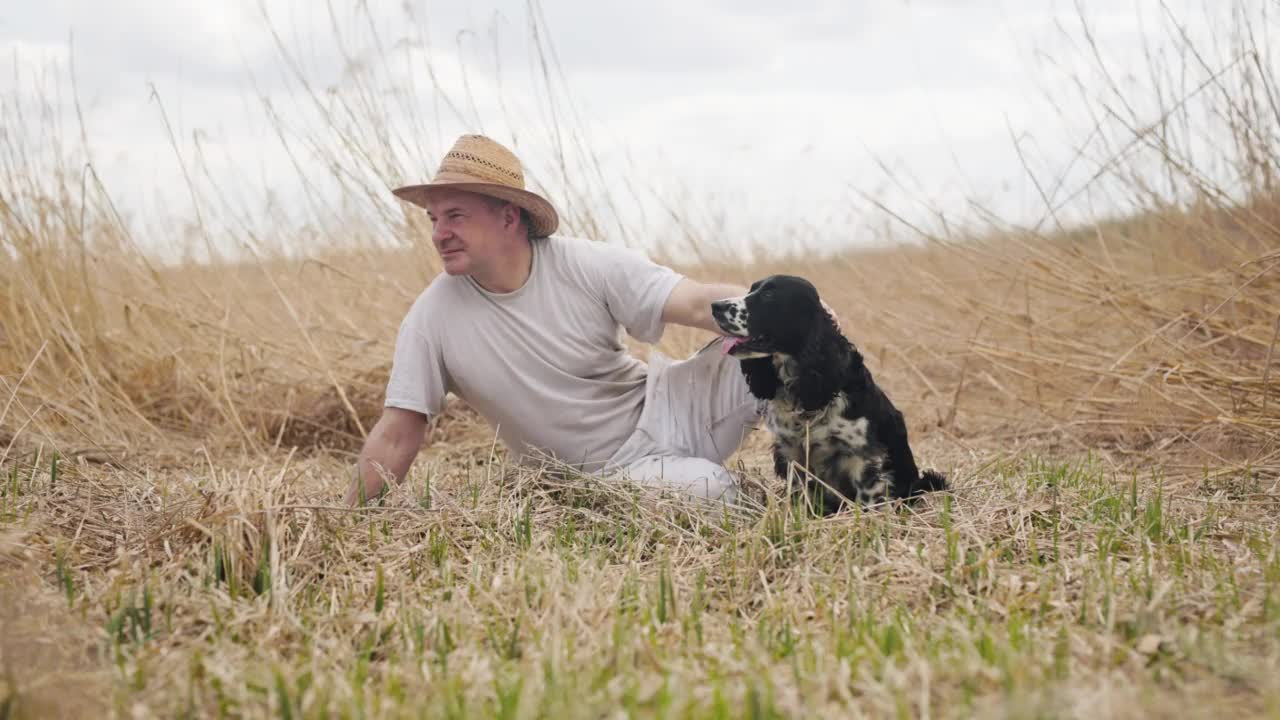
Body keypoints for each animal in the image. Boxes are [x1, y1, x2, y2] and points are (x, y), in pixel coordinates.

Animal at [711, 271, 952, 512]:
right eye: (751, 289)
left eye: (769, 294)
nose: (715, 306)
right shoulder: (791, 454)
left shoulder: (863, 457)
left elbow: (869, 500)